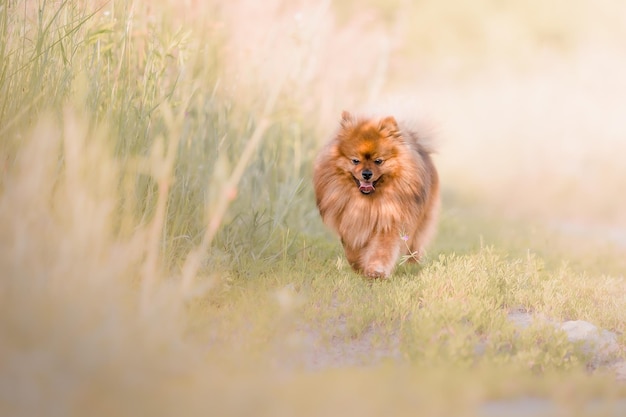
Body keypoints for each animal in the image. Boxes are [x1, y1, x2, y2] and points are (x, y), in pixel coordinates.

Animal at [312, 112, 438, 278]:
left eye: (378, 161)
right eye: (355, 160)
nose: (367, 174)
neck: (368, 202)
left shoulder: (389, 220)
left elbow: (382, 250)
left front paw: (376, 270)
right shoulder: (349, 223)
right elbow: (352, 249)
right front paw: (358, 266)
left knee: (415, 244)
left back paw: (412, 263)